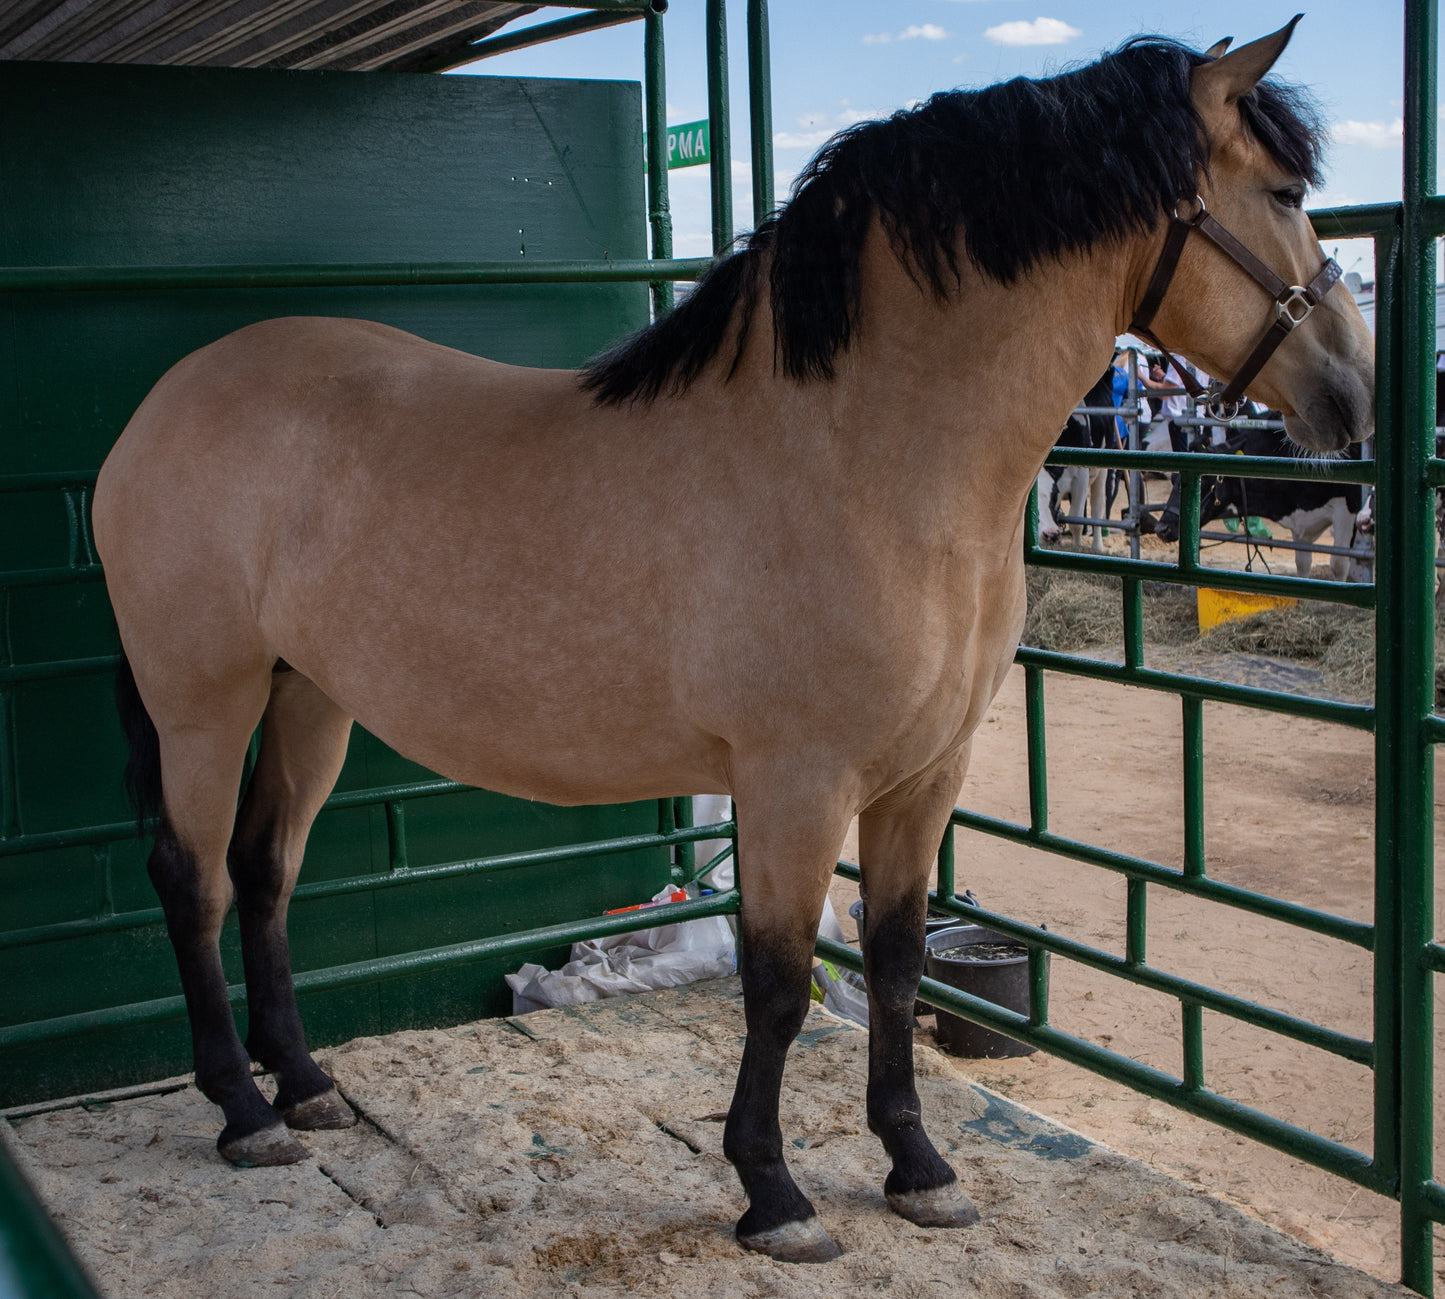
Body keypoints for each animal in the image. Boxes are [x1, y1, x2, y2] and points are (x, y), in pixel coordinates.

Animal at [98, 17, 1364, 1259]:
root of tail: (164, 402)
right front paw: (773, 1192)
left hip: (306, 694)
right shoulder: (796, 782)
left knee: (265, 870)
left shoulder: (923, 777)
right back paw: (245, 1112)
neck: (864, 461)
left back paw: (307, 1084)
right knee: (194, 878)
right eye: (1284, 190)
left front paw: (917, 1168)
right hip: (201, 701)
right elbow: (780, 982)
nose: (1351, 395)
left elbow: (895, 963)